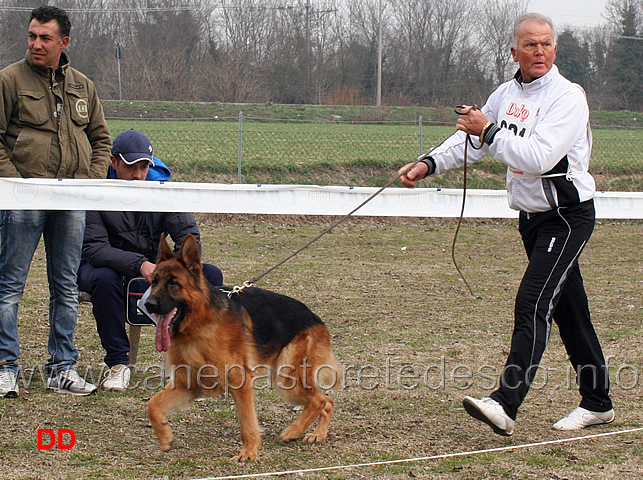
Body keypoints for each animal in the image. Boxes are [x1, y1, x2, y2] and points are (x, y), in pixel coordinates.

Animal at [143, 234, 340, 460]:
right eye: (154, 281)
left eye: (173, 283)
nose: (148, 304)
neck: (200, 324)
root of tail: (316, 318)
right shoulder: (187, 383)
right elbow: (153, 404)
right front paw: (164, 436)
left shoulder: (240, 381)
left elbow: (247, 422)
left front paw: (248, 452)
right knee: (326, 401)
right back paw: (317, 434)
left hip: (287, 379)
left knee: (320, 401)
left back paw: (293, 431)